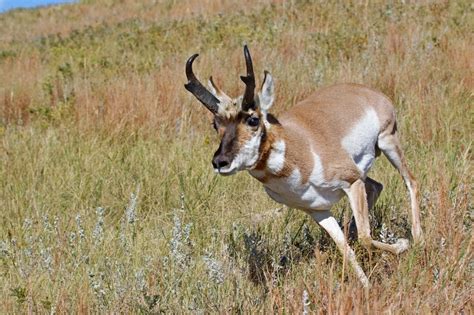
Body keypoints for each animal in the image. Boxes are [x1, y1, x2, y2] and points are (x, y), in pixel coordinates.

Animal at [183, 45, 424, 288]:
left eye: (253, 120)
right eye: (216, 124)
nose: (220, 162)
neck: (300, 150)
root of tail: (367, 91)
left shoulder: (352, 181)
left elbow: (366, 238)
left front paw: (402, 244)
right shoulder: (317, 210)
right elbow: (345, 249)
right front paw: (366, 286)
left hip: (387, 142)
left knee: (411, 181)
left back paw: (418, 239)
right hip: (366, 169)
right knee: (376, 186)